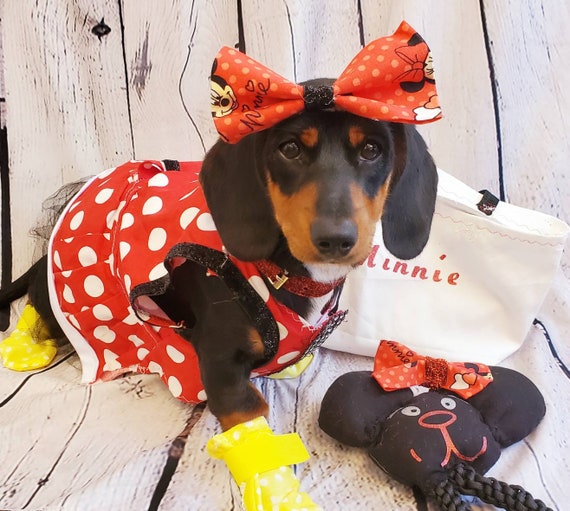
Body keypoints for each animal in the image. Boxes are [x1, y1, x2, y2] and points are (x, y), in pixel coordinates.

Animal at [0, 21, 440, 508]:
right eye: (289, 149)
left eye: (371, 151)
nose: (336, 239)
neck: (284, 272)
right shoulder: (220, 364)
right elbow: (252, 425)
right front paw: (280, 494)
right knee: (38, 310)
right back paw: (25, 345)